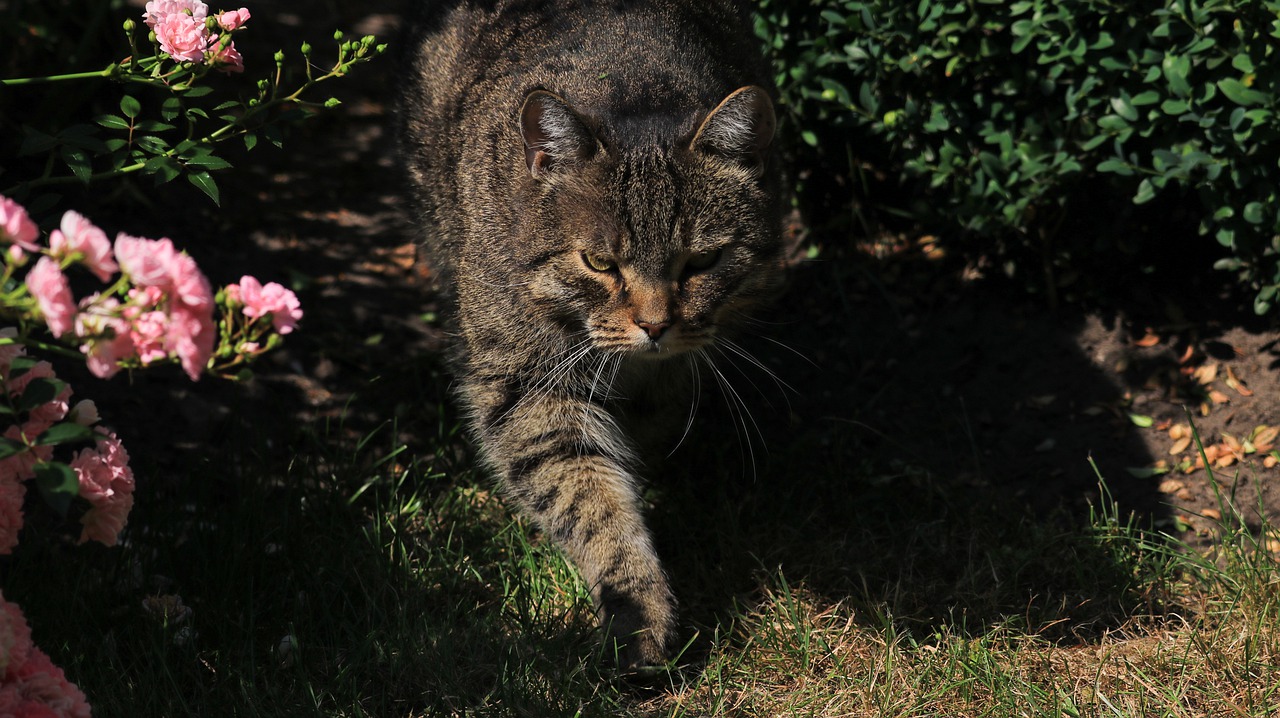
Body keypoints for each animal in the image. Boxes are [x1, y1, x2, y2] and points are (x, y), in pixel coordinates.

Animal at [399, 0, 783, 670]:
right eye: (599, 263)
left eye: (701, 263)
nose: (655, 324)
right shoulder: (526, 385)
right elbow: (589, 500)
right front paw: (637, 609)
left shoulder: (674, 371)